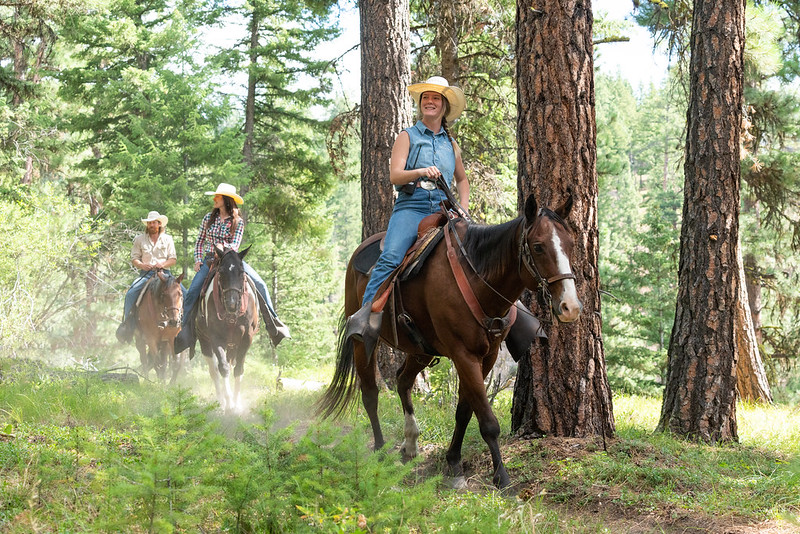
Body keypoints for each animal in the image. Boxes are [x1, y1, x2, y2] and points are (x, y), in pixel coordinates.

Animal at [195, 245, 258, 416]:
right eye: (221, 271)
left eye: (242, 272)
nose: (232, 304)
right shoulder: (216, 338)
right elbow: (223, 368)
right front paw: (229, 404)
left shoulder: (247, 338)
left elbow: (239, 369)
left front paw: (237, 404)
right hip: (205, 341)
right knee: (214, 371)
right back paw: (221, 401)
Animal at [318, 194, 580, 490]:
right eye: (537, 246)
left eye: (571, 244)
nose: (570, 307)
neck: (478, 277)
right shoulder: (463, 354)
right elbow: (487, 420)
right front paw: (501, 477)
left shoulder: (486, 357)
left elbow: (464, 411)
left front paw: (454, 462)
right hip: (363, 343)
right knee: (370, 394)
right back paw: (381, 449)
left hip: (419, 350)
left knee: (403, 380)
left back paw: (410, 443)